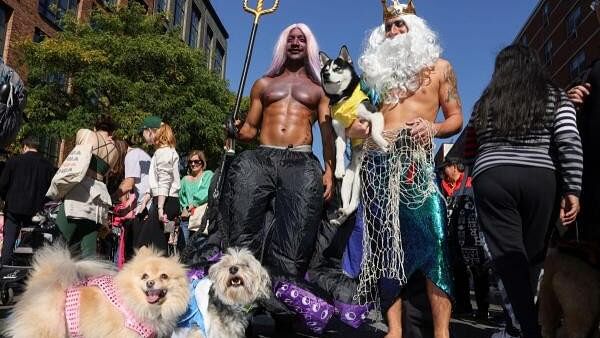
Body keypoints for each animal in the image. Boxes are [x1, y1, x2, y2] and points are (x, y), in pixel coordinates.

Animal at [318, 44, 390, 224]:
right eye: (325, 70)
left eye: (337, 68)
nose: (326, 75)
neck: (342, 98)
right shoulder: (340, 134)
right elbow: (339, 151)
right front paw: (338, 169)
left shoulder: (374, 115)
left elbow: (375, 132)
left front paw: (383, 144)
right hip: (348, 182)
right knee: (349, 205)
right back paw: (341, 216)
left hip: (360, 181)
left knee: (355, 203)